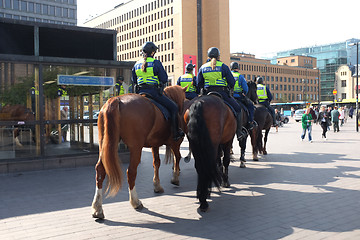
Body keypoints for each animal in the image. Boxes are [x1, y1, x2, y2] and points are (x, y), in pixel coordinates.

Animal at [90, 85, 186, 219]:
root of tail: (115, 100)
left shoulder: (154, 144)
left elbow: (156, 162)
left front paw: (157, 185)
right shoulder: (175, 143)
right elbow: (178, 157)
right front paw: (175, 177)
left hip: (104, 144)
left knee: (100, 170)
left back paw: (97, 207)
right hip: (136, 147)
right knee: (131, 172)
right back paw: (135, 201)